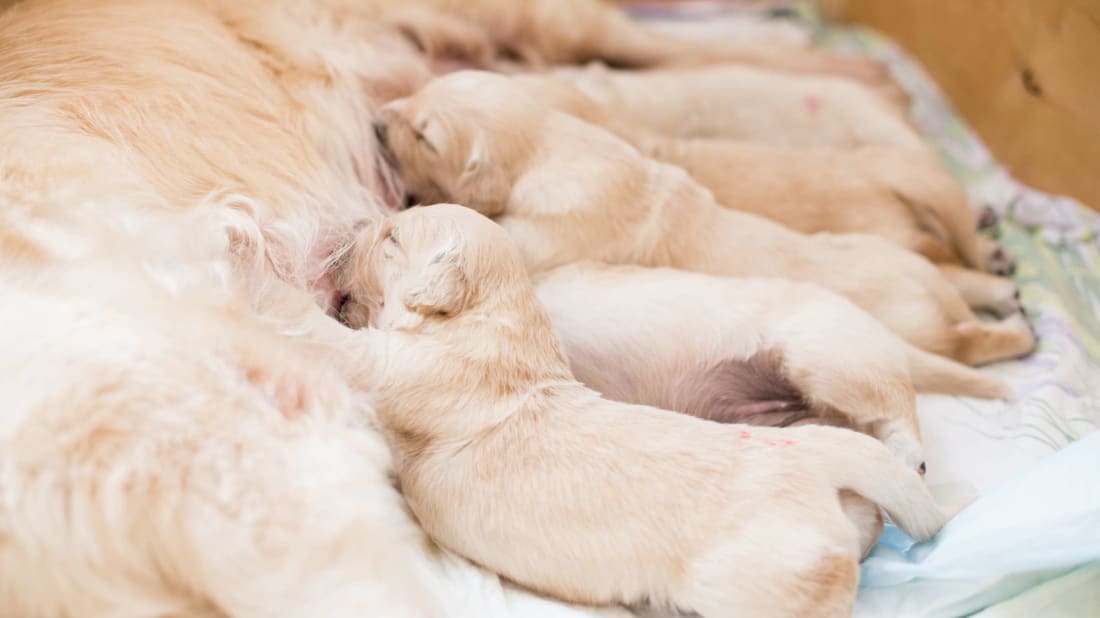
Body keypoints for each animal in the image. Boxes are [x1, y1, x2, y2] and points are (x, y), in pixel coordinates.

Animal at [334, 204, 954, 615]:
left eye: (391, 238)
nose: (353, 228)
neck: (500, 316)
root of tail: (816, 461)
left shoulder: (399, 366)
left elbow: (340, 343)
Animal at [374, 70, 1034, 365]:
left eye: (425, 136)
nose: (376, 120)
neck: (552, 142)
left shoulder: (545, 231)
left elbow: (489, 230)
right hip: (897, 254)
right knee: (960, 273)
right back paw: (1003, 288)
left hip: (922, 325)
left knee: (969, 338)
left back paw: (1016, 332)